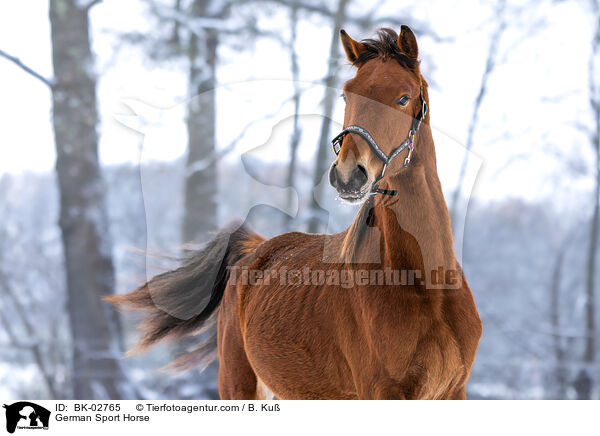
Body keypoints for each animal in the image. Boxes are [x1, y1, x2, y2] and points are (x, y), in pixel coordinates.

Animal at [108, 25, 482, 400]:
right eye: (347, 96)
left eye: (403, 98)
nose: (348, 175)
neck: (426, 287)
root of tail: (255, 250)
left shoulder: (454, 392)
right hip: (238, 383)